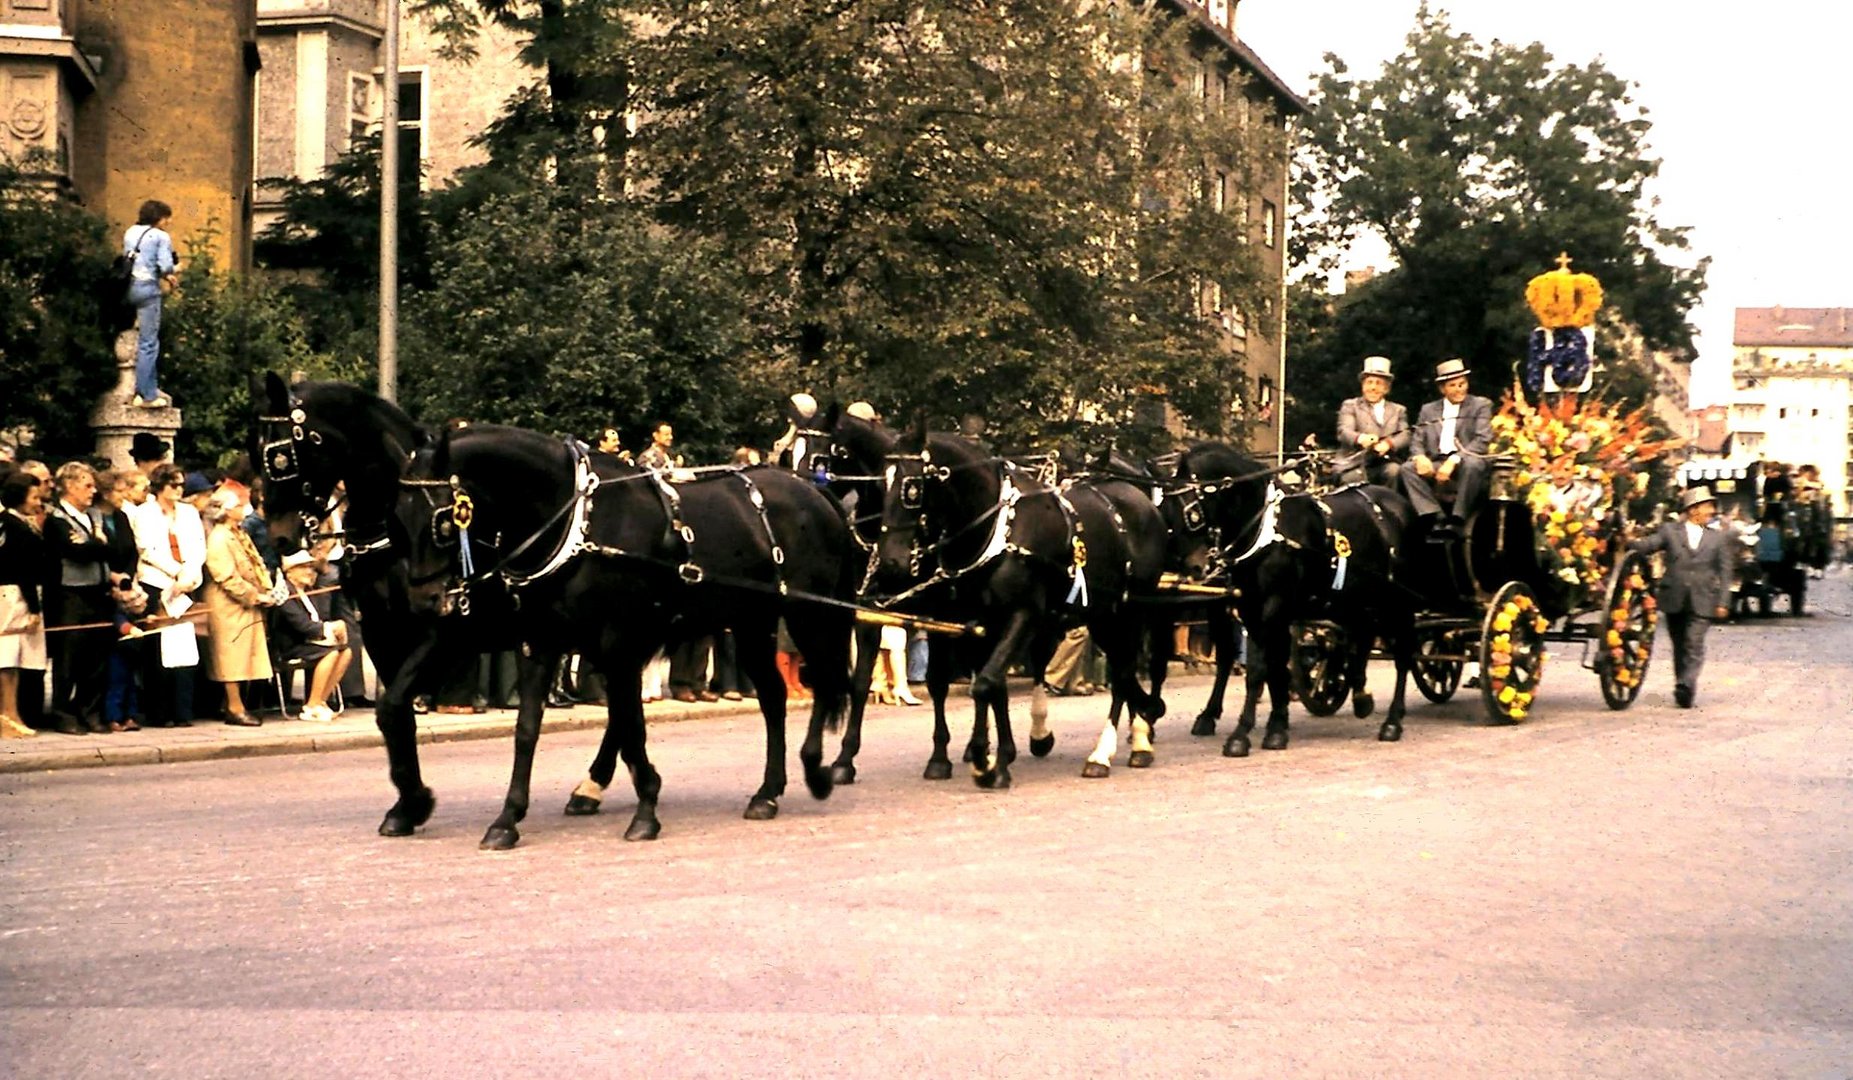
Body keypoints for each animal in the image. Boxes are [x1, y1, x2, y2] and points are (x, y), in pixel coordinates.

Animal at [398, 420, 859, 844]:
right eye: (400, 515)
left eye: (442, 520)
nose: (424, 600)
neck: (577, 525)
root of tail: (814, 491)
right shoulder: (543, 643)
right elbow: (529, 729)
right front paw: (507, 819)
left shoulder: (618, 643)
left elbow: (630, 724)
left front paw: (645, 811)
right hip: (751, 623)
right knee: (774, 695)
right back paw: (767, 792)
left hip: (808, 615)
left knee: (826, 683)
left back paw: (817, 769)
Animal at [863, 420, 1156, 785]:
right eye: (880, 483)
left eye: (912, 487)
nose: (891, 561)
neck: (996, 531)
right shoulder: (975, 622)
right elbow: (984, 684)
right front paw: (991, 755)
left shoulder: (1022, 615)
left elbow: (986, 683)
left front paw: (986, 760)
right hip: (1103, 616)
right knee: (1122, 671)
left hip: (1127, 613)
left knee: (1123, 673)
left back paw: (1108, 751)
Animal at [1156, 444, 1415, 755]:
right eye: (1164, 510)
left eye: (1191, 512)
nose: (1192, 567)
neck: (1266, 533)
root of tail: (1398, 504)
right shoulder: (1250, 609)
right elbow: (1273, 666)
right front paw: (1277, 726)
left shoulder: (1272, 607)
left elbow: (1259, 669)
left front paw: (1241, 734)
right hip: (1354, 600)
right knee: (1361, 637)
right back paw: (1361, 697)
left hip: (1396, 602)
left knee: (1402, 652)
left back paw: (1393, 721)